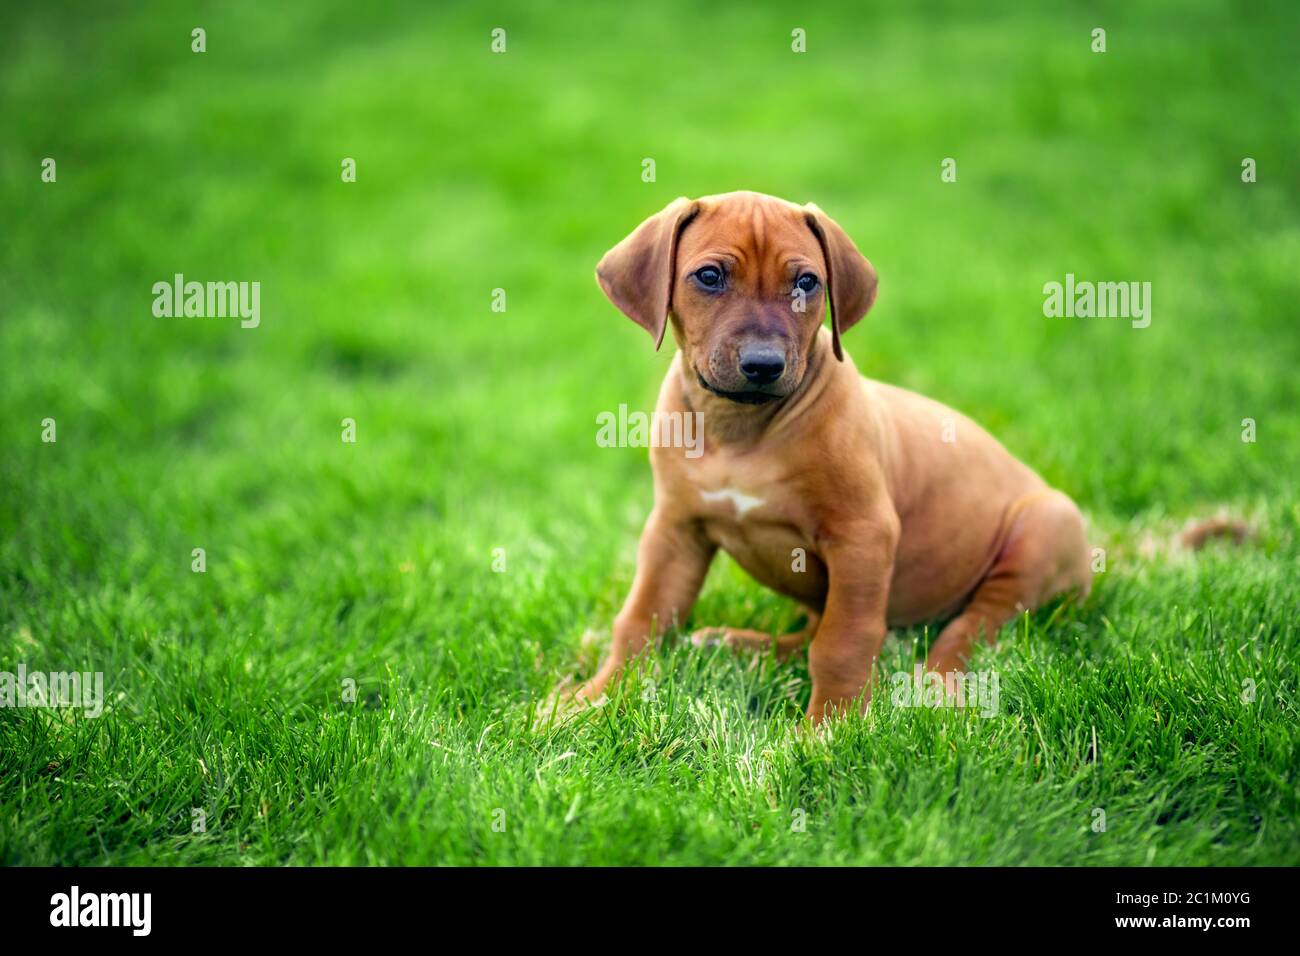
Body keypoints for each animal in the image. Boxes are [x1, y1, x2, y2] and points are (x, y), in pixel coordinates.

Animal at [577, 191, 1086, 723]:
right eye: (710, 276)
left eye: (806, 282)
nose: (764, 364)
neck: (741, 430)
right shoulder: (675, 529)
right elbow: (640, 619)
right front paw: (593, 699)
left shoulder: (862, 536)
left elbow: (843, 641)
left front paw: (831, 725)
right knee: (809, 635)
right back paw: (733, 644)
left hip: (1044, 531)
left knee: (971, 626)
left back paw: (940, 683)